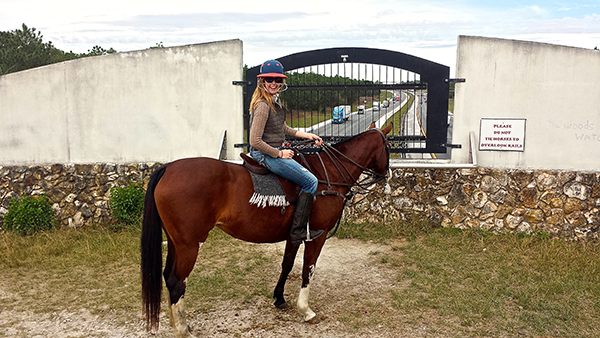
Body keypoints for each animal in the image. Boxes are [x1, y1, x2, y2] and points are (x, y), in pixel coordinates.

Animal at [141, 123, 394, 336]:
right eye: (388, 147)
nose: (385, 176)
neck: (327, 175)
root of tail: (167, 168)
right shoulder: (317, 236)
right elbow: (308, 270)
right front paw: (305, 309)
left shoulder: (295, 235)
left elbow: (287, 264)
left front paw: (279, 298)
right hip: (189, 245)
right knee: (177, 282)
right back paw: (183, 329)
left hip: (176, 243)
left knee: (168, 277)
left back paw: (179, 322)